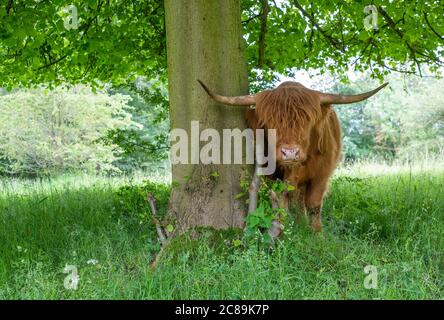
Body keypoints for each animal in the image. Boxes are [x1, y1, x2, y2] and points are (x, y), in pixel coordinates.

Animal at [199, 79, 386, 230]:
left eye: (308, 121)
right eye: (269, 122)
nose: (290, 153)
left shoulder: (322, 174)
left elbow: (314, 204)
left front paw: (317, 233)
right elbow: (282, 199)